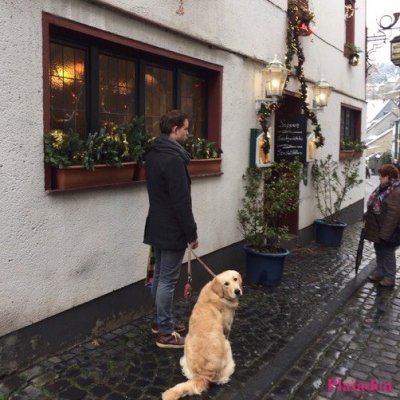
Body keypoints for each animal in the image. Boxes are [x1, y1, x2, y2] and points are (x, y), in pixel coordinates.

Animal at [161, 268, 242, 400]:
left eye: (235, 279)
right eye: (226, 284)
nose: (237, 291)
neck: (216, 293)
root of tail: (203, 376)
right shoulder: (226, 326)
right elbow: (227, 333)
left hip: (187, 344)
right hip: (226, 347)